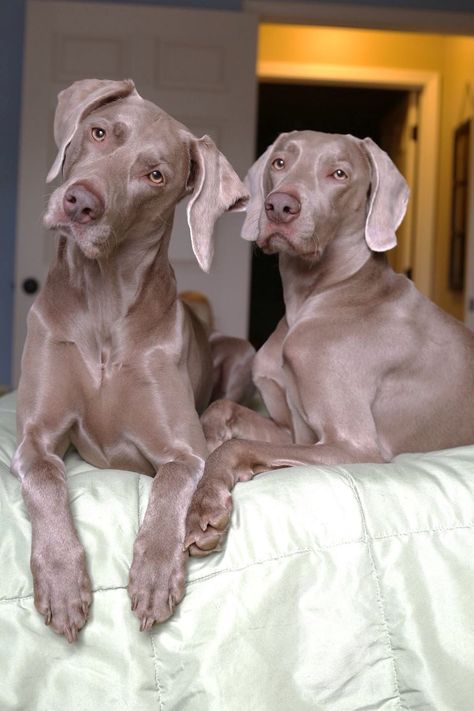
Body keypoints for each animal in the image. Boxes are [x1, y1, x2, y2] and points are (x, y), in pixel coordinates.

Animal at [11, 78, 254, 640]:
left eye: (155, 175)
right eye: (100, 132)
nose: (80, 202)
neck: (103, 298)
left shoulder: (182, 450)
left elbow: (170, 485)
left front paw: (154, 572)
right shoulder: (33, 437)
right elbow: (45, 480)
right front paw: (61, 580)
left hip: (240, 353)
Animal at [184, 129, 474, 556]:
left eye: (339, 173)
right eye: (280, 163)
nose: (279, 206)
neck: (318, 295)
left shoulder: (354, 446)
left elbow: (236, 447)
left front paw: (204, 502)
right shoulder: (293, 431)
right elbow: (221, 408)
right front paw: (201, 444)